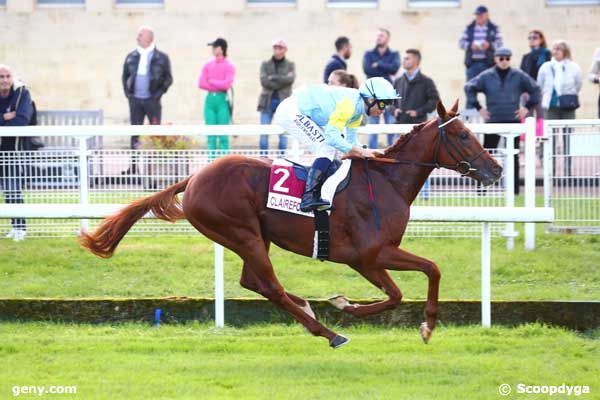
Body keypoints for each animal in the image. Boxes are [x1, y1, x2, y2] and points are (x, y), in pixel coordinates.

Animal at [79, 101, 502, 348]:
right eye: (463, 134)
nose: (497, 169)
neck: (386, 182)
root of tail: (195, 176)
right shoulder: (368, 255)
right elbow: (419, 278)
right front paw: (355, 308)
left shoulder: (372, 257)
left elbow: (415, 281)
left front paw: (353, 305)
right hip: (242, 233)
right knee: (269, 286)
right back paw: (328, 332)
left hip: (253, 237)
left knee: (254, 283)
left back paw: (308, 310)